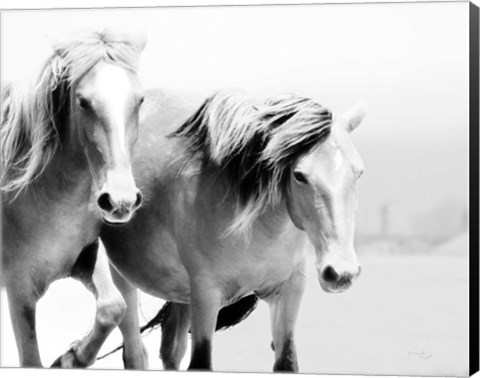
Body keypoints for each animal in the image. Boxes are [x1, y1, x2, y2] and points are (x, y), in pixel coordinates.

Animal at [0, 28, 146, 366]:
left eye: (139, 99)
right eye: (83, 101)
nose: (120, 201)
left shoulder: (87, 255)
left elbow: (111, 308)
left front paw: (71, 358)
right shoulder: (19, 290)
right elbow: (32, 360)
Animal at [99, 88, 366, 372]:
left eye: (358, 172)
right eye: (300, 176)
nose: (341, 273)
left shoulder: (288, 291)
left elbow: (286, 360)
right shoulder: (206, 295)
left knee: (171, 347)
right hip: (124, 278)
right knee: (134, 351)